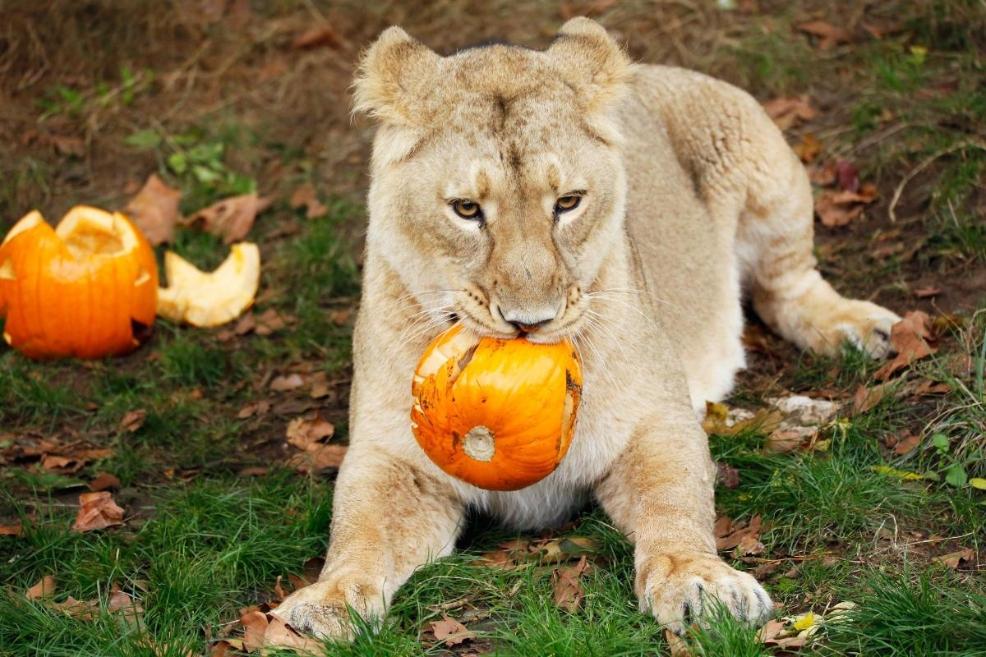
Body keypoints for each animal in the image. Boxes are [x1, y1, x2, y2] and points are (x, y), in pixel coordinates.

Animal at [270, 19, 900, 640]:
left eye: (568, 202)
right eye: (467, 209)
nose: (531, 322)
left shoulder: (657, 420)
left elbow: (675, 503)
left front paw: (701, 583)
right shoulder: (391, 458)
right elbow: (359, 530)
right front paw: (325, 604)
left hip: (763, 161)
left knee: (786, 285)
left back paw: (859, 333)